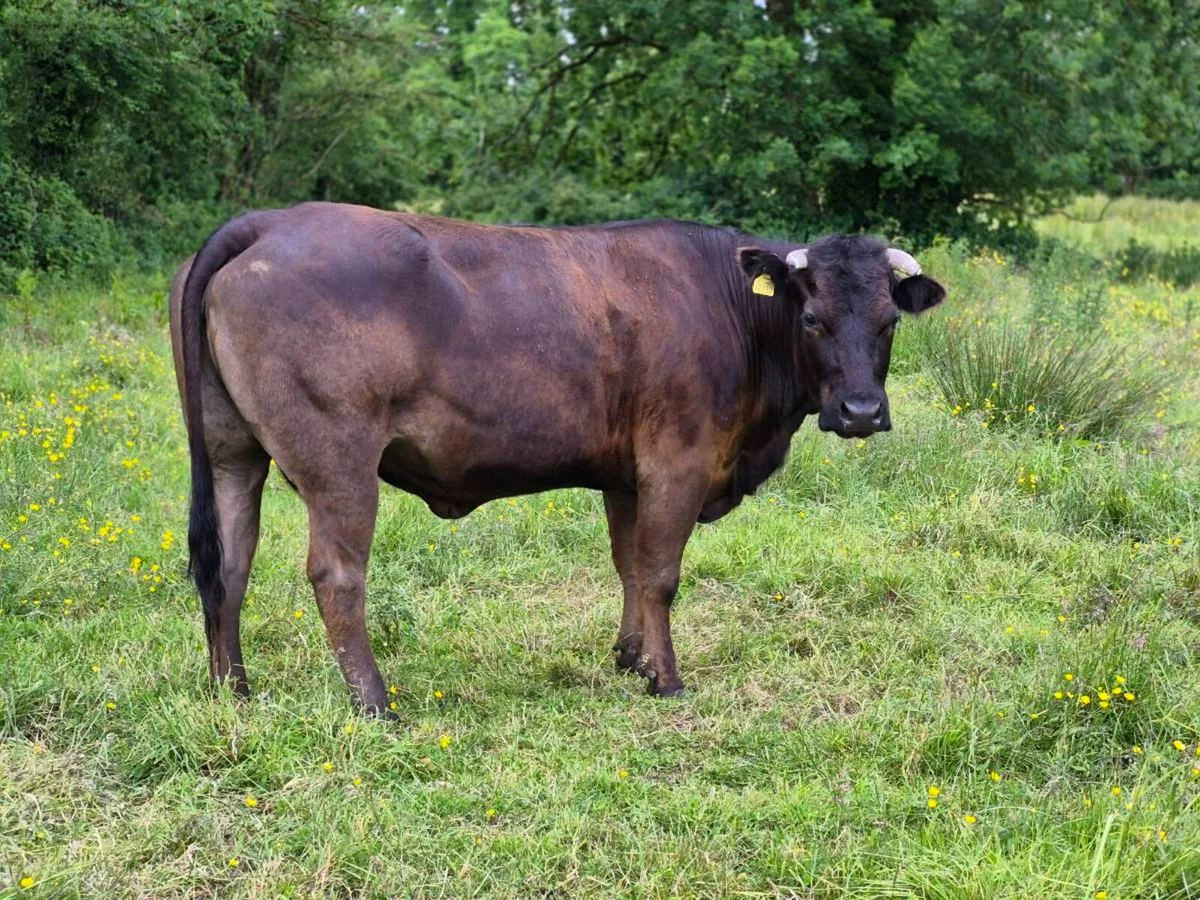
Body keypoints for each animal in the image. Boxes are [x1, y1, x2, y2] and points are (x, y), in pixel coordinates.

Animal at [169, 202, 945, 713]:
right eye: (811, 318)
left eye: (889, 322)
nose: (861, 412)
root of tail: (269, 221)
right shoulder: (678, 462)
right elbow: (661, 573)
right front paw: (667, 679)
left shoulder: (625, 474)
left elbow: (629, 565)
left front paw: (631, 658)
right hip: (339, 463)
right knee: (336, 576)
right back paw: (376, 703)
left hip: (232, 451)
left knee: (229, 565)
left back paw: (233, 692)